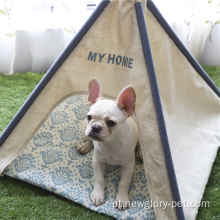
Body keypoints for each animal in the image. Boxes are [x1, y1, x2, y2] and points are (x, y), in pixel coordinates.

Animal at [78, 77, 143, 210]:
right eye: (89, 117)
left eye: (111, 123)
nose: (95, 127)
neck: (111, 143)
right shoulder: (97, 161)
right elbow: (99, 178)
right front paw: (98, 194)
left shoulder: (128, 165)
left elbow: (124, 182)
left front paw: (121, 198)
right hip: (83, 129)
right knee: (89, 140)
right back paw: (85, 146)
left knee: (139, 144)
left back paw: (139, 152)